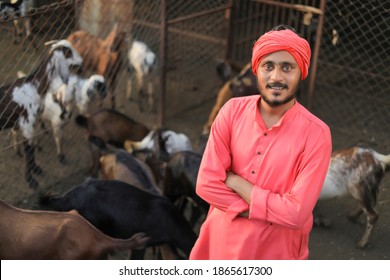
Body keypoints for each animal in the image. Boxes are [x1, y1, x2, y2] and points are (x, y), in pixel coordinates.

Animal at [0, 38, 82, 188]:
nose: (82, 61)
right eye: (68, 52)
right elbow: (29, 151)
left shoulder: (33, 122)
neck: (34, 86)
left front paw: (36, 169)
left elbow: (32, 149)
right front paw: (31, 180)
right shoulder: (27, 123)